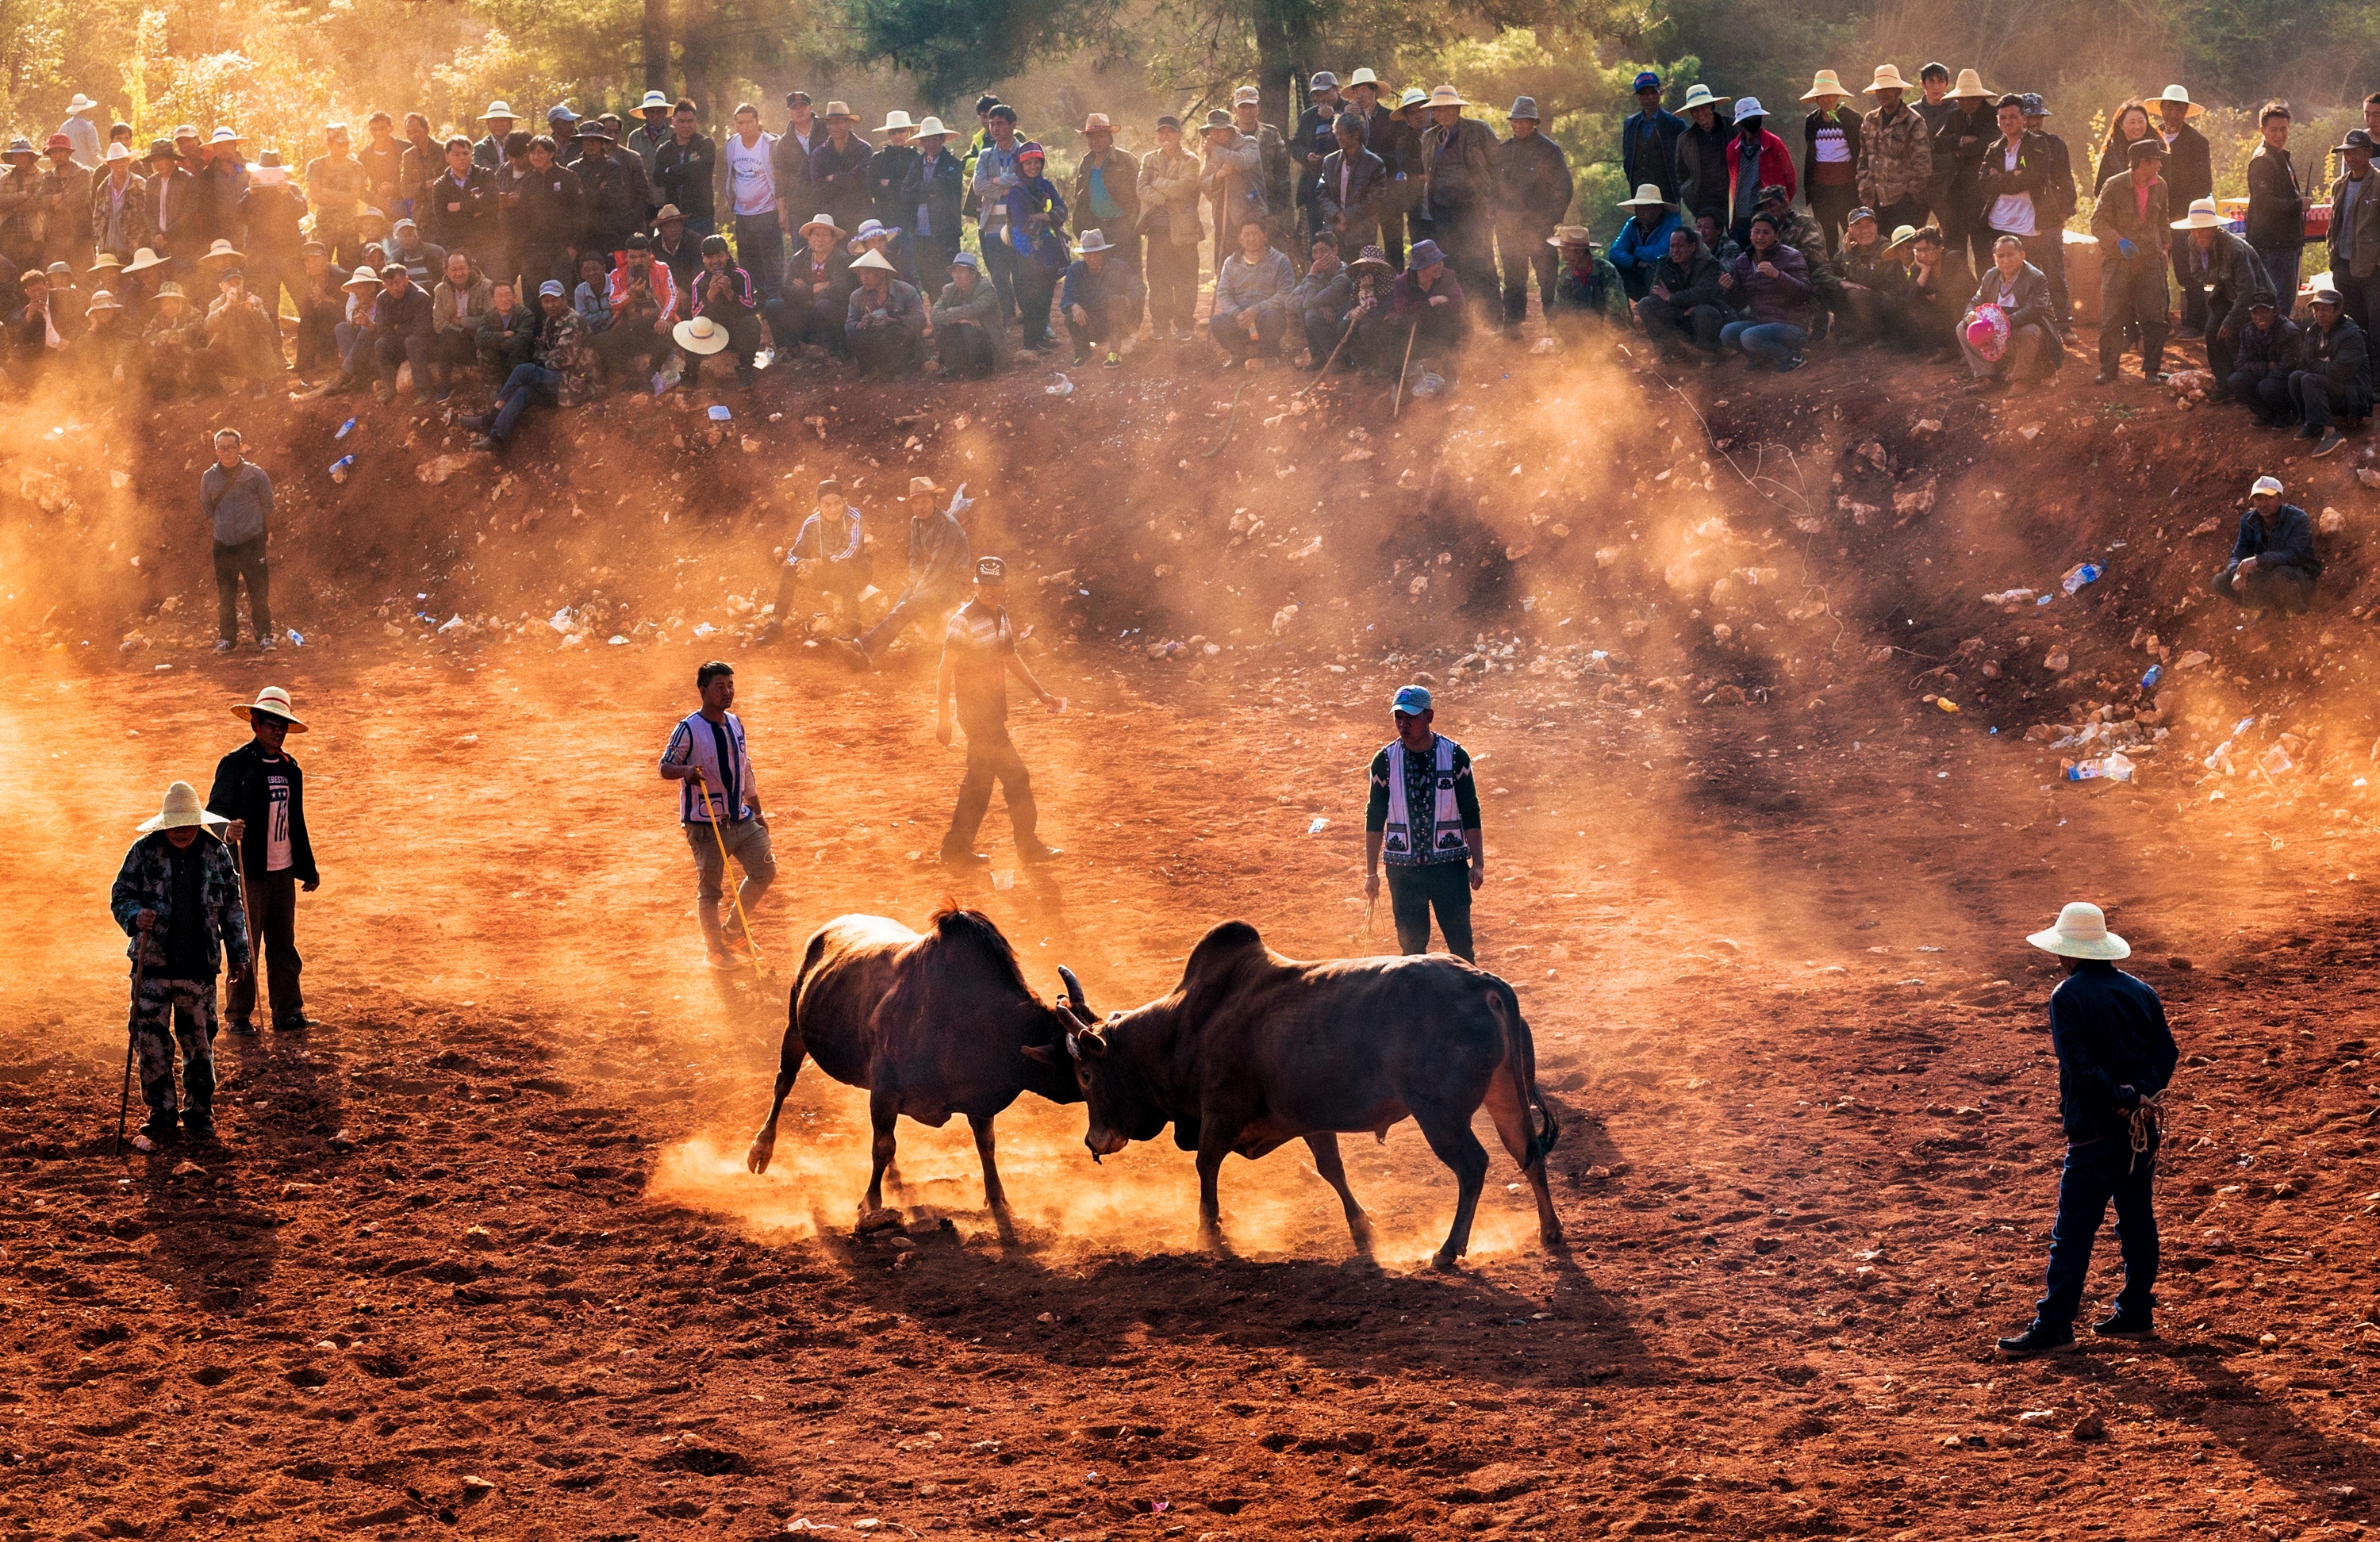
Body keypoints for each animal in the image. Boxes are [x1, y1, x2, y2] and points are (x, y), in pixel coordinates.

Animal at [747, 904, 1085, 1237]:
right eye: (1081, 1065)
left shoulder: (977, 1098)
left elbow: (986, 1145)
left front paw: (998, 1198)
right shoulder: (885, 1091)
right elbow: (882, 1147)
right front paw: (871, 1203)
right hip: (794, 1028)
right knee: (784, 1082)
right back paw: (761, 1149)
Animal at [1042, 923, 1561, 1275]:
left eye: (1086, 1075)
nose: (1094, 1142)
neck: (1188, 1025)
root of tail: (1482, 982)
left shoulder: (1220, 1114)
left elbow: (1206, 1167)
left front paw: (1209, 1234)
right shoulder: (1311, 1121)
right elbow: (1332, 1170)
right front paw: (1363, 1230)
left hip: (1440, 1115)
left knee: (1474, 1165)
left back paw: (1449, 1250)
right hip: (1504, 1097)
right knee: (1528, 1152)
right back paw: (1550, 1232)